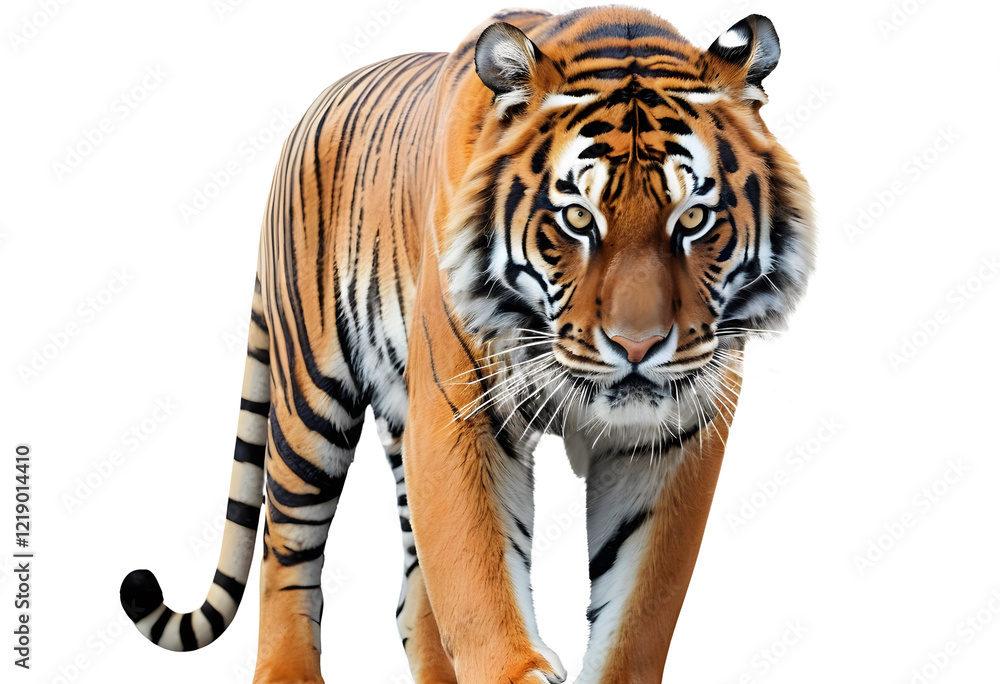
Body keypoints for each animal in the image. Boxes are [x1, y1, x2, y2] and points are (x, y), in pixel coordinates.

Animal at [120, 6, 815, 683]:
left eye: (693, 218)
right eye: (578, 218)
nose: (637, 346)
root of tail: (311, 111)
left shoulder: (673, 435)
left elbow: (640, 605)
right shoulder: (458, 414)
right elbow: (477, 572)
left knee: (413, 598)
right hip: (310, 399)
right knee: (286, 550)